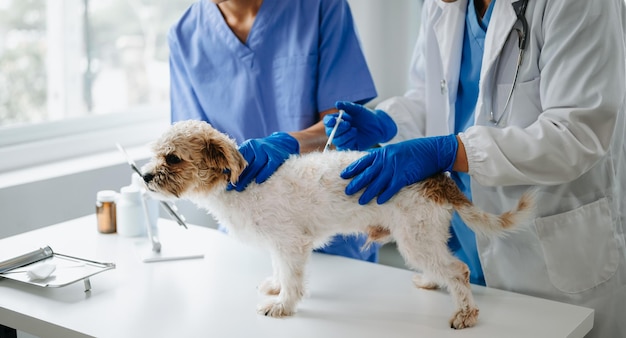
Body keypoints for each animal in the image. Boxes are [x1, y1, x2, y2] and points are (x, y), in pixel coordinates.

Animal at [143, 120, 536, 328]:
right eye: (155, 155)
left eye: (172, 158)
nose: (145, 176)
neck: (236, 186)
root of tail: (438, 177)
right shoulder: (279, 245)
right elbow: (279, 270)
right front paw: (275, 287)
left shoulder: (291, 244)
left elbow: (293, 280)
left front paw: (283, 305)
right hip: (424, 237)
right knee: (446, 265)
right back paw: (430, 280)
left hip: (415, 238)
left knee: (459, 270)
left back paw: (465, 313)